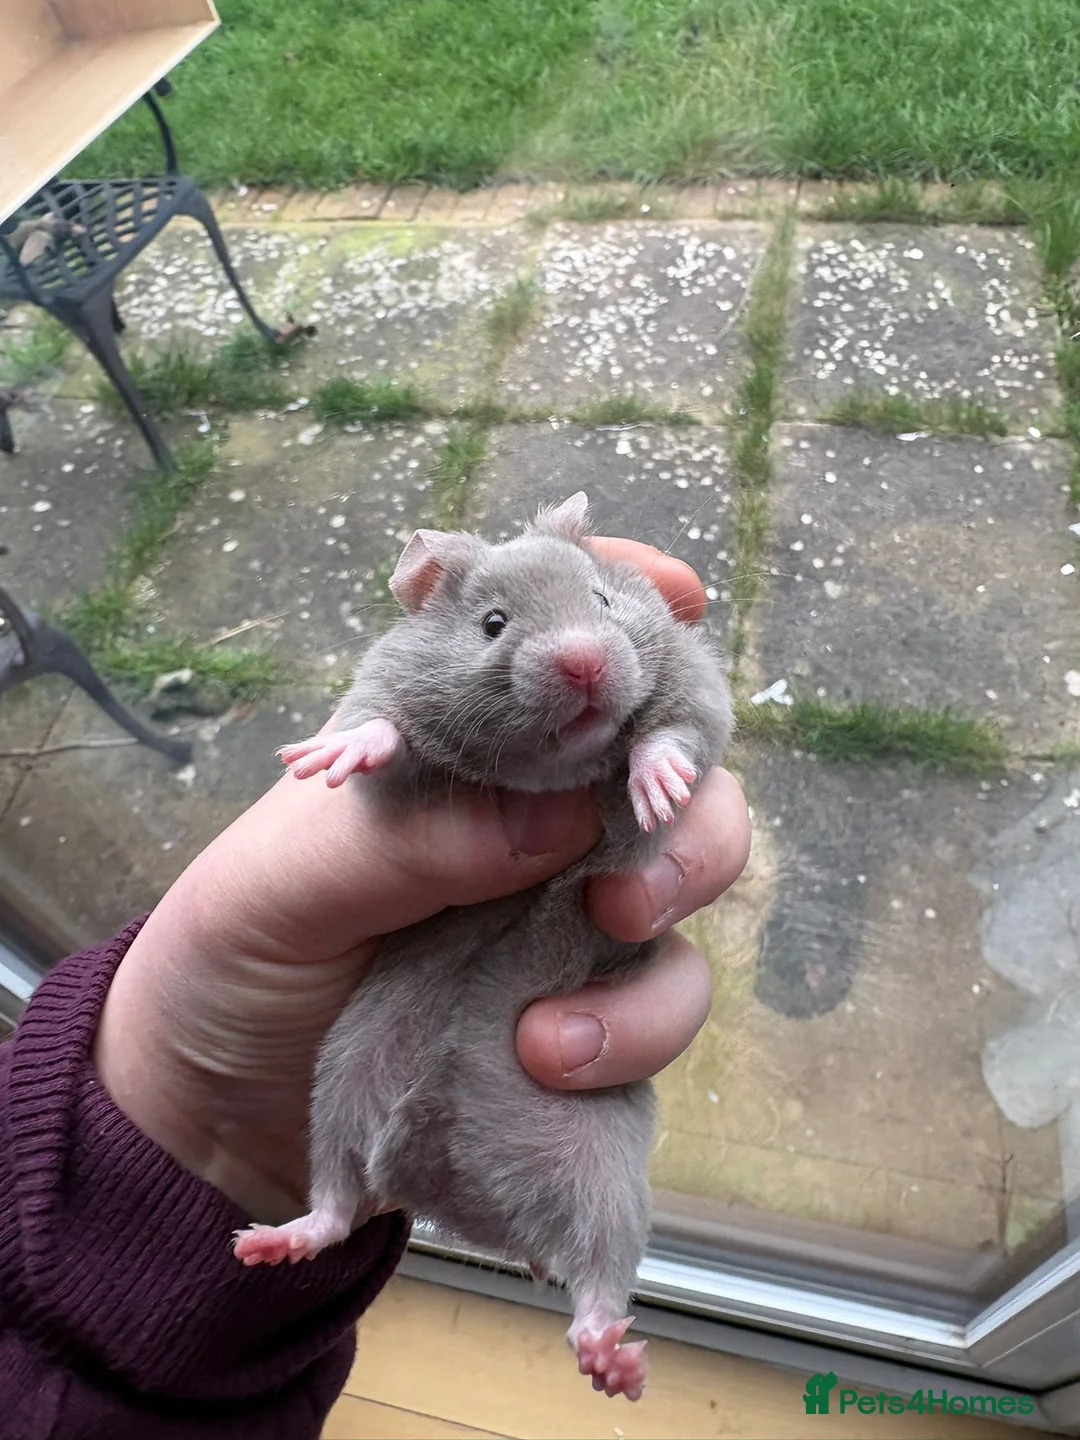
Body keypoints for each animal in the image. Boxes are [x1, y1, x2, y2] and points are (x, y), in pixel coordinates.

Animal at [232, 492, 733, 1401]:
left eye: (602, 601)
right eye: (494, 625)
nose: (584, 663)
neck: (553, 769)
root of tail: (464, 1209)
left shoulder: (699, 688)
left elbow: (678, 732)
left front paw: (659, 790)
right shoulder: (384, 691)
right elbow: (377, 731)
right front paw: (322, 756)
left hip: (609, 1180)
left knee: (596, 1284)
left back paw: (617, 1366)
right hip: (341, 1088)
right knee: (333, 1205)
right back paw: (264, 1244)